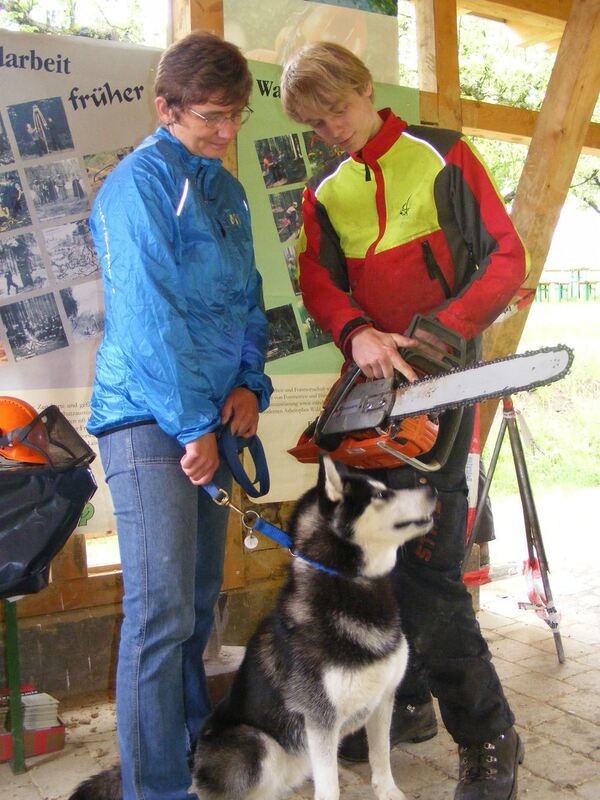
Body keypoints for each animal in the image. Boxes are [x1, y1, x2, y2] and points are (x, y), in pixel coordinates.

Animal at [69, 456, 436, 800]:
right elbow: (329, 786)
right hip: (258, 742)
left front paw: (389, 791)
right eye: (381, 494)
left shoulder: (383, 699)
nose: (431, 489)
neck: (348, 583)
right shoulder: (320, 720)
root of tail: (193, 759)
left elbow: (381, 757)